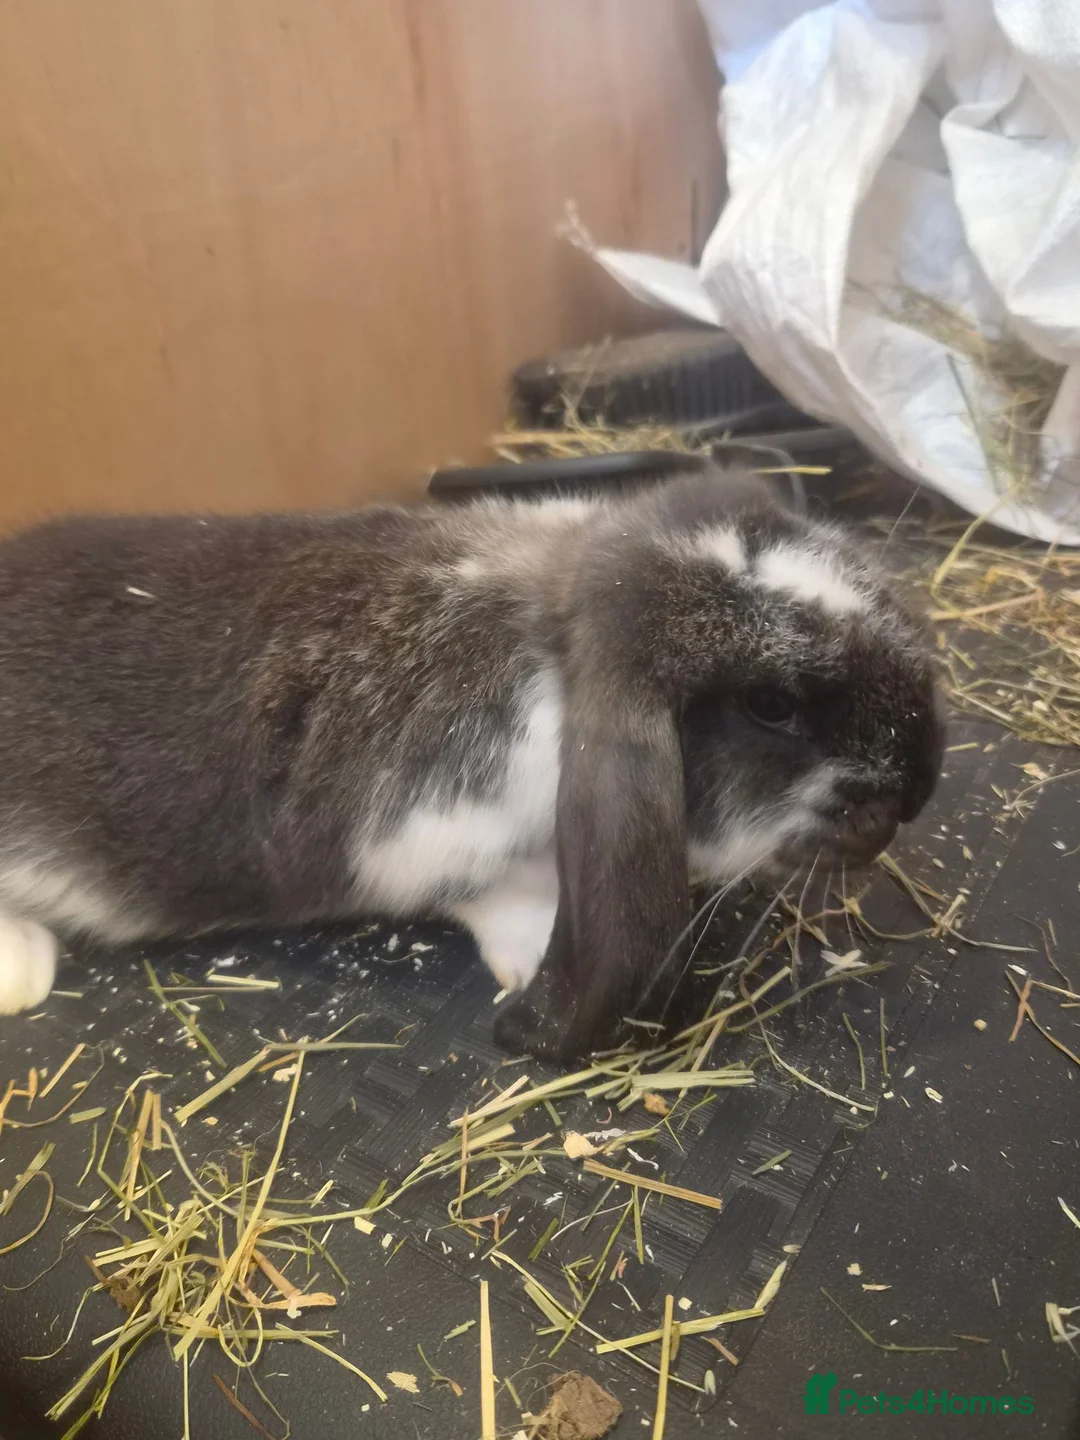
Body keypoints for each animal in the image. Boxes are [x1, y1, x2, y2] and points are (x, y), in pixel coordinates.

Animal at [0, 466, 943, 1061]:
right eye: (770, 706)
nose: (918, 790)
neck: (556, 642)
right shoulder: (426, 839)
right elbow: (494, 893)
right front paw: (532, 952)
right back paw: (21, 977)